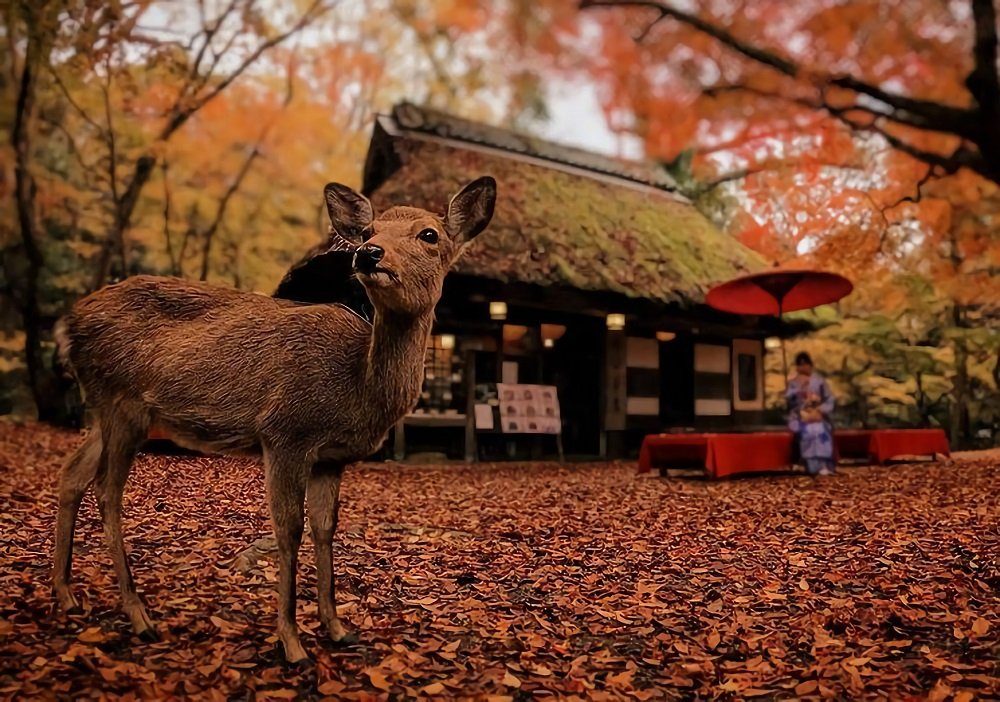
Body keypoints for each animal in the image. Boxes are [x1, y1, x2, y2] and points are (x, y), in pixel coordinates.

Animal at [50, 177, 496, 664]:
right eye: (368, 230)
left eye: (429, 234)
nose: (369, 253)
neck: (356, 386)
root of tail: (67, 325)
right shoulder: (285, 432)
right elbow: (289, 529)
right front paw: (292, 641)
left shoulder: (331, 458)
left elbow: (325, 528)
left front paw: (337, 628)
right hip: (123, 403)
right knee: (107, 491)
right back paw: (138, 615)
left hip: (106, 410)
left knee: (72, 474)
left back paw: (66, 594)